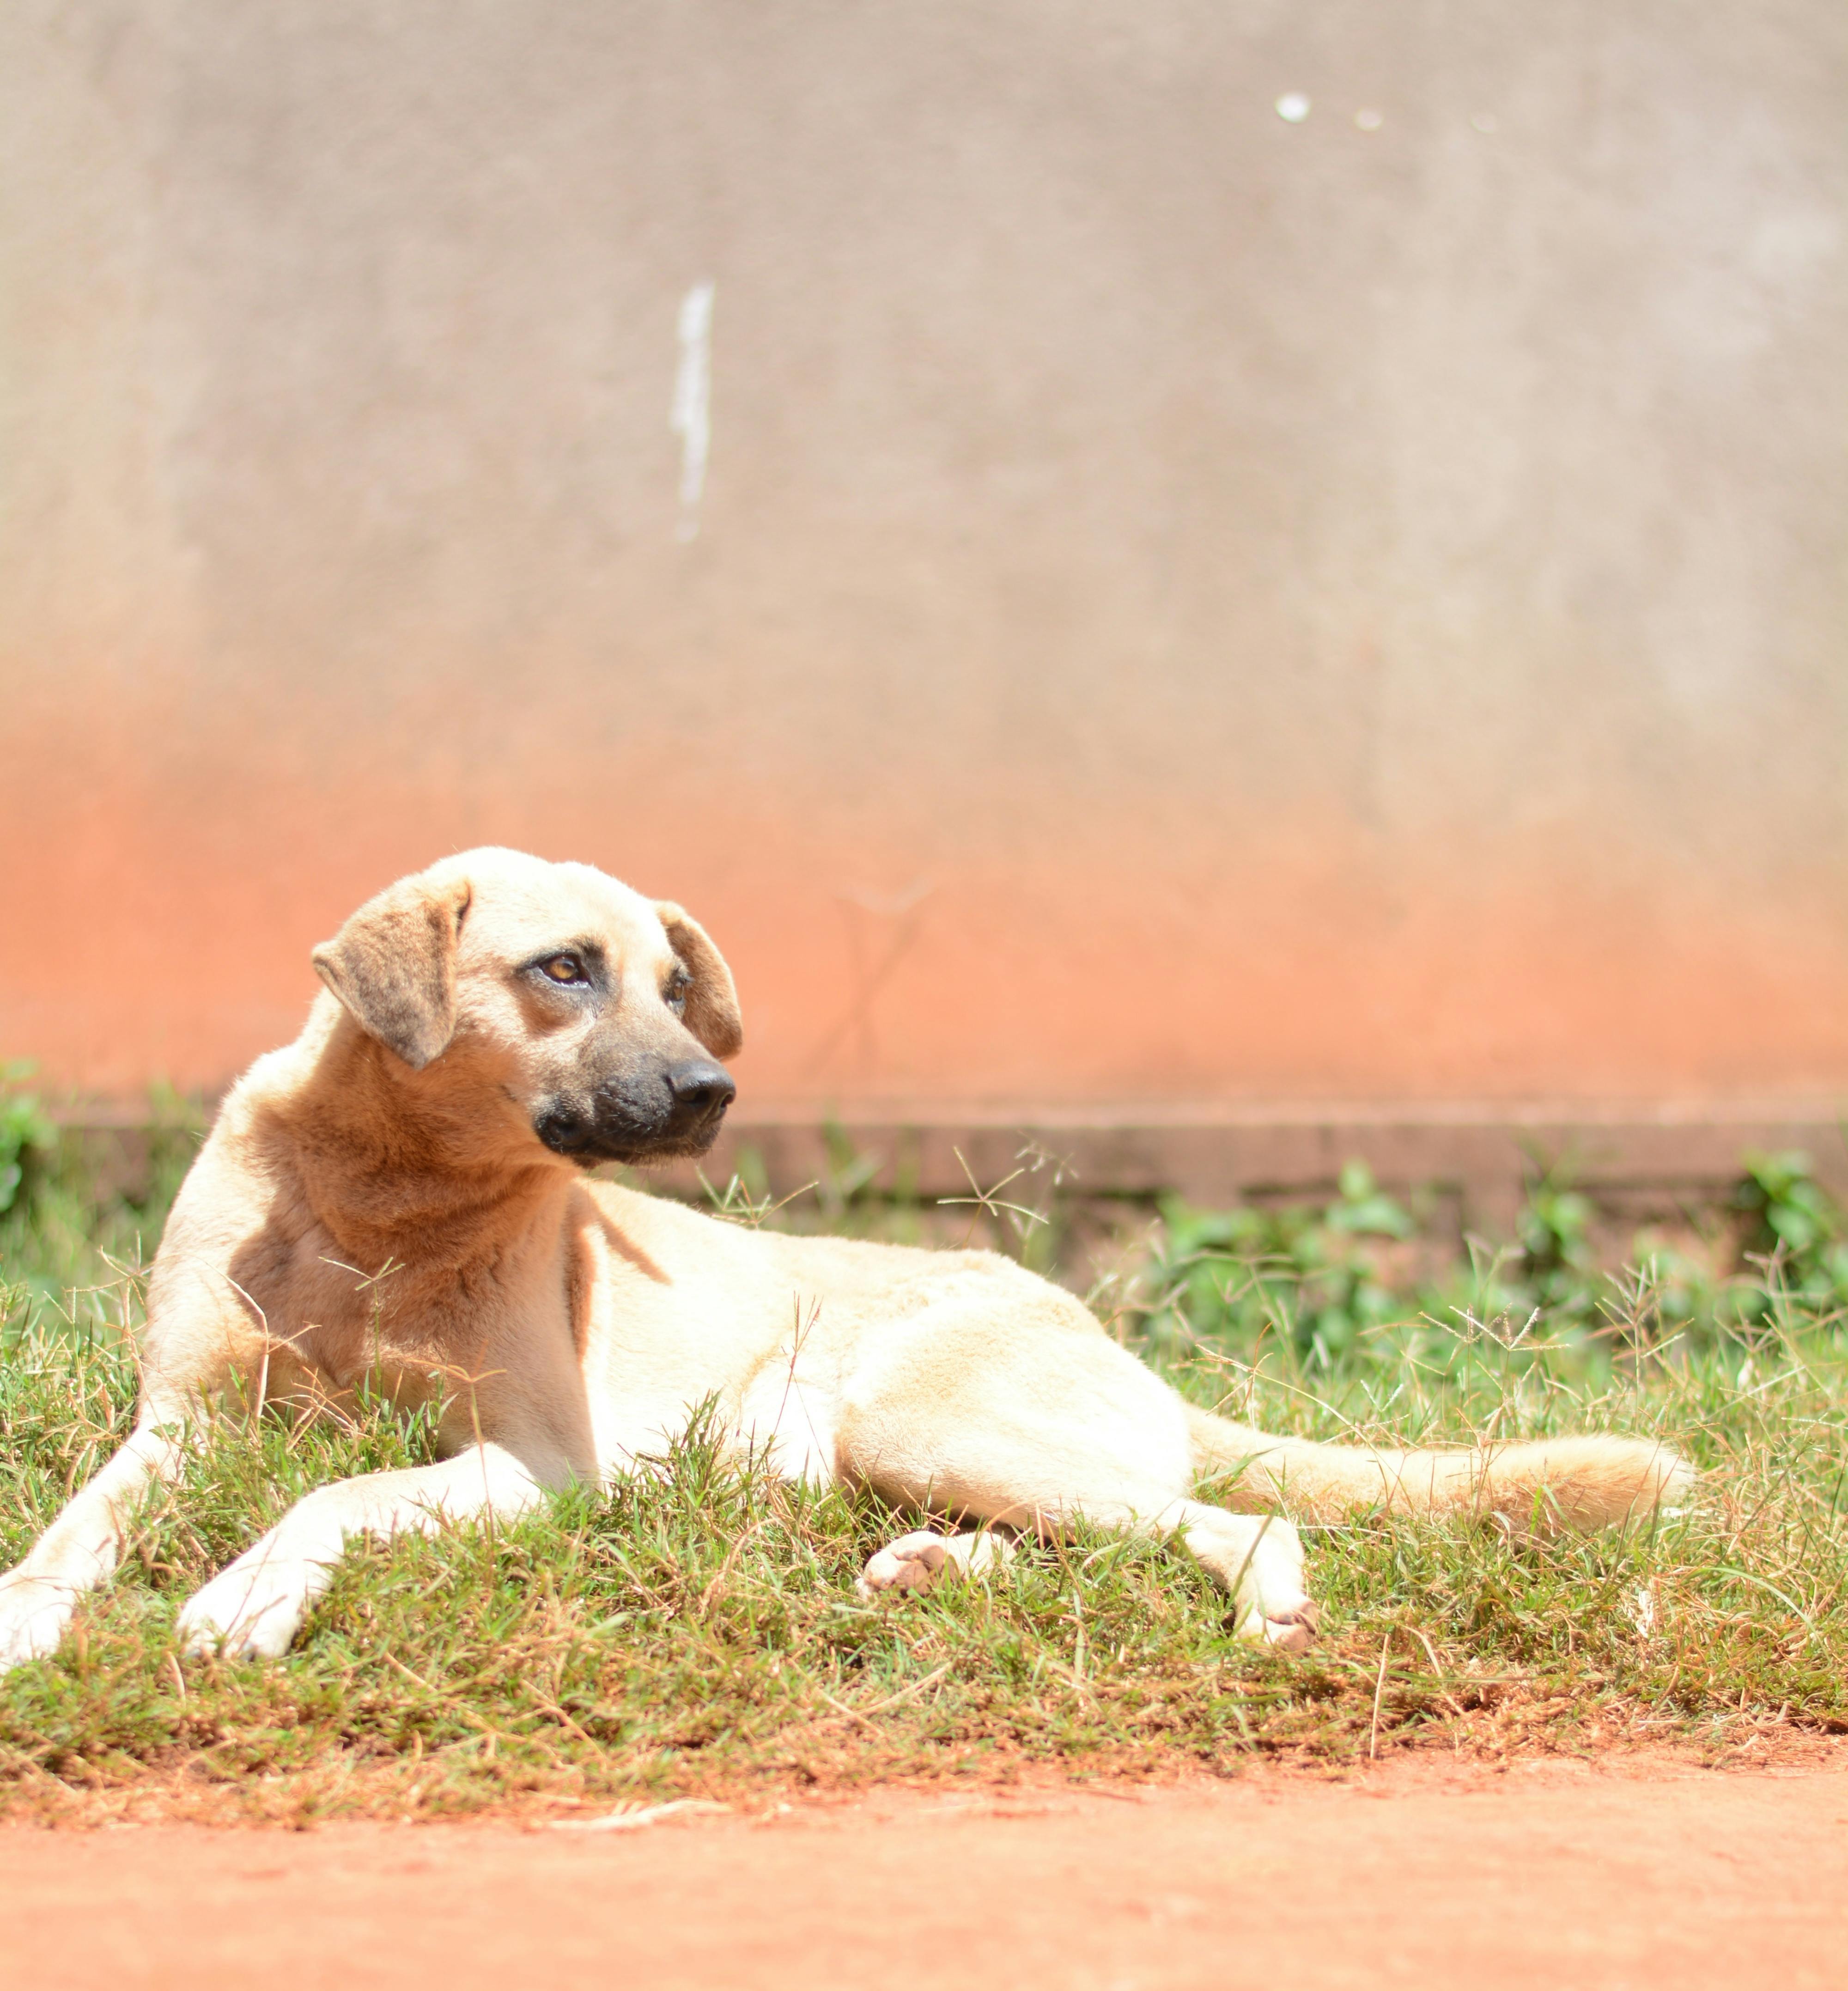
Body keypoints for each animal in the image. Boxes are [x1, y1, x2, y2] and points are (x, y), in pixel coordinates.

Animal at [0, 840, 1689, 1664]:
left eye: (677, 982)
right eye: (567, 968)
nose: (710, 1089)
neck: (383, 1201)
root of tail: (1101, 1330)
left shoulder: (536, 1460)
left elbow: (337, 1492)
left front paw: (245, 1596)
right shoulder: (179, 1424)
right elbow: (78, 1525)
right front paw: (27, 1612)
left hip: (911, 1413)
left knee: (1236, 1523)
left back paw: (1256, 1611)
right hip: (907, 1455)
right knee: (1111, 1527)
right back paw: (939, 1564)